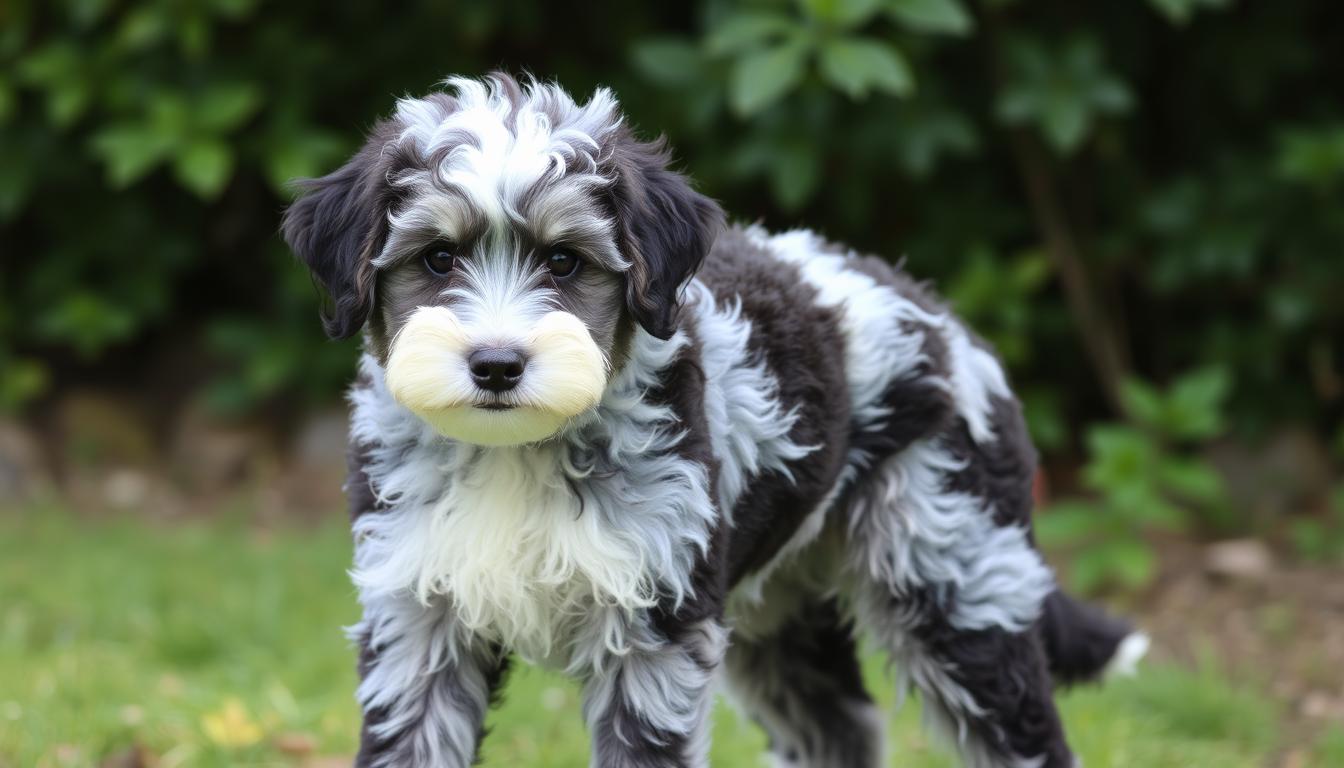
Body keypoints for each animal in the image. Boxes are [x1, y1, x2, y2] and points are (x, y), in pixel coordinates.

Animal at [283, 73, 1145, 768]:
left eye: (564, 262)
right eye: (436, 259)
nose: (497, 365)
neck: (517, 451)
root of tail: (947, 321)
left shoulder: (654, 631)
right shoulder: (415, 622)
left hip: (955, 569)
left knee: (1023, 733)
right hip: (785, 614)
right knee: (841, 728)